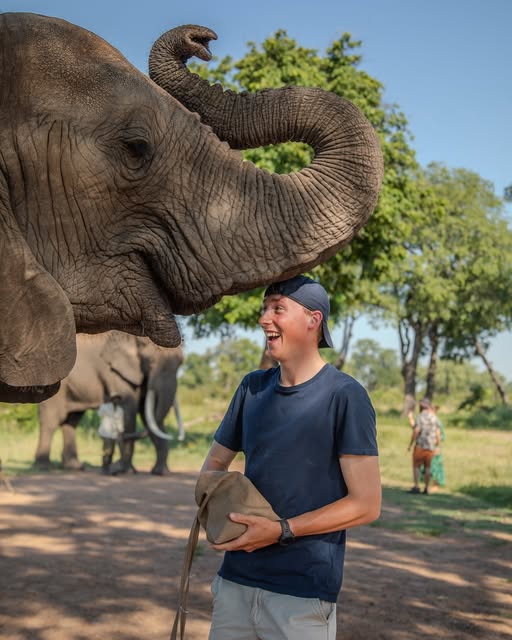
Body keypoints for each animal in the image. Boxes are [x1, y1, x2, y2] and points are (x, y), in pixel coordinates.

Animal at [34, 331, 184, 475]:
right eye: (151, 362)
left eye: (180, 364)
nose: (117, 465)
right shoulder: (114, 371)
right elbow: (129, 408)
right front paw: (128, 471)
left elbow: (147, 415)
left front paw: (160, 472)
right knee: (52, 420)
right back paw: (43, 467)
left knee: (72, 421)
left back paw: (74, 467)